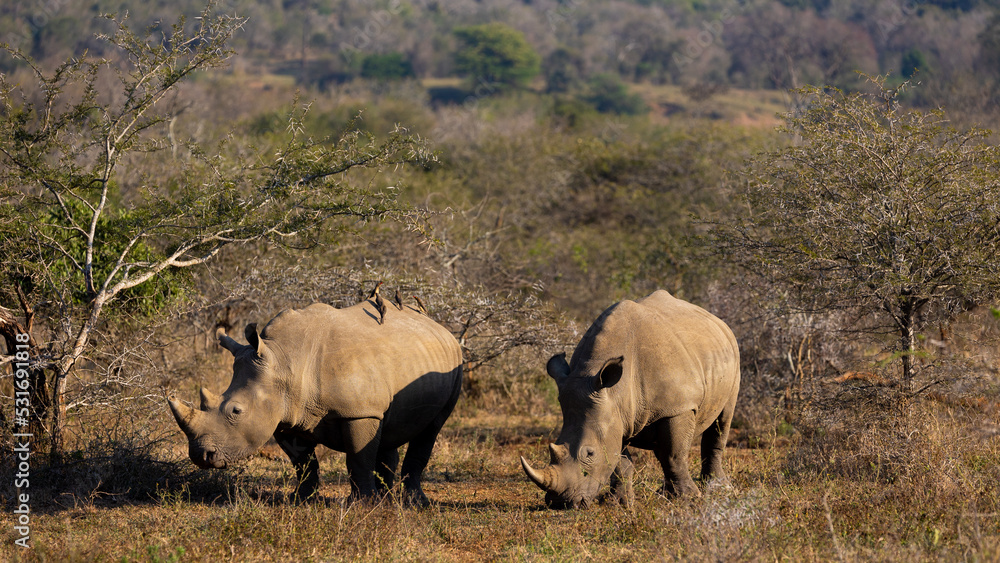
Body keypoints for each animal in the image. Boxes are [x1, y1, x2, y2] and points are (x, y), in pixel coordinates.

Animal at [167, 300, 463, 506]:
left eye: (236, 411)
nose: (201, 456)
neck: (285, 361)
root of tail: (441, 328)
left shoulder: (359, 412)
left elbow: (358, 458)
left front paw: (361, 505)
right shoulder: (287, 415)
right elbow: (304, 463)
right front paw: (301, 500)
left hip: (455, 363)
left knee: (431, 429)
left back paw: (412, 503)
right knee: (389, 429)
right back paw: (387, 500)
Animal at [521, 290, 740, 508]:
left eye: (590, 454)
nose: (560, 503)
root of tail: (718, 321)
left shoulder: (678, 407)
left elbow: (674, 455)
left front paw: (689, 500)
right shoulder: (615, 413)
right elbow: (620, 460)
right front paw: (618, 503)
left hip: (733, 353)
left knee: (722, 420)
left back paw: (718, 489)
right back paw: (665, 494)